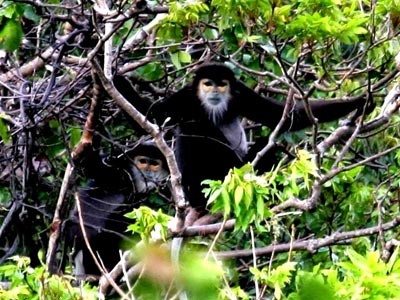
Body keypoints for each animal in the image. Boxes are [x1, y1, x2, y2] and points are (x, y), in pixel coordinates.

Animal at [63, 142, 169, 278]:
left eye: (155, 164)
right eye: (143, 162)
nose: (148, 174)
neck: (130, 184)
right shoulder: (116, 167)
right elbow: (90, 165)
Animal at [115, 62, 368, 213]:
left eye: (221, 84)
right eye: (208, 83)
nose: (214, 90)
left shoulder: (241, 94)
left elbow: (282, 116)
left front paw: (359, 102)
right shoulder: (186, 97)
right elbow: (152, 116)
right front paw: (115, 79)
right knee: (193, 127)